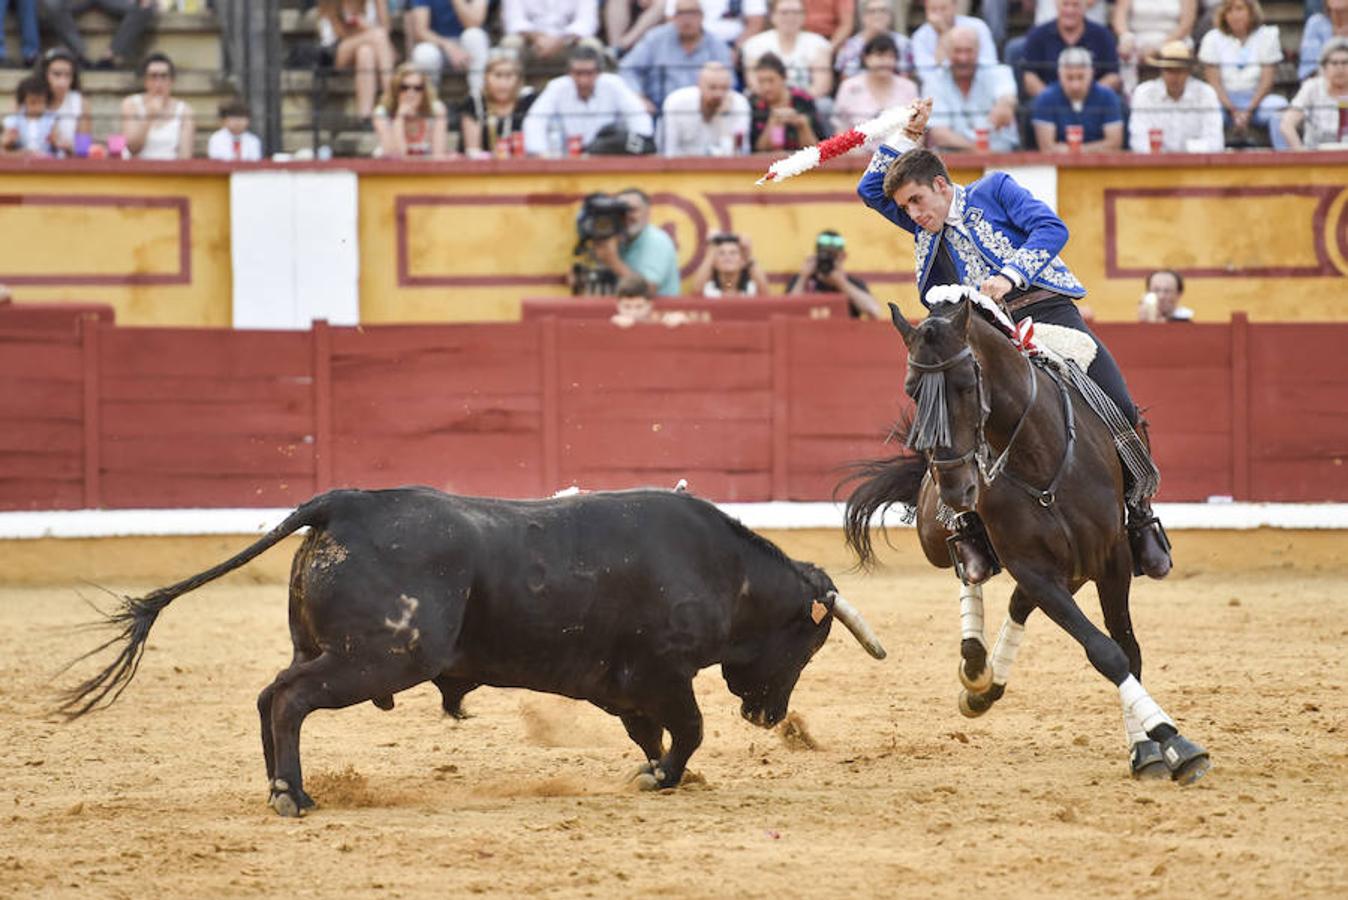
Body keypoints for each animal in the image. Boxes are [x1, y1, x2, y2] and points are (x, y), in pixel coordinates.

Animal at [60, 485, 884, 813]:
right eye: (810, 645)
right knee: (289, 700)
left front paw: (650, 773)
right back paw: (292, 796)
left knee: (271, 694)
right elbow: (688, 730)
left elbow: (651, 735)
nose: (769, 716)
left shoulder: (624, 685)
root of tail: (343, 502)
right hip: (381, 658)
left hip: (325, 649)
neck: (723, 567)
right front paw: (664, 779)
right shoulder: (663, 673)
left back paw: (282, 787)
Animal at [841, 299, 1213, 781]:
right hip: (935, 534)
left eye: (966, 384)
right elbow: (1104, 650)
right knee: (969, 569)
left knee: (1017, 602)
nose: (957, 488)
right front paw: (1172, 740)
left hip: (1077, 565)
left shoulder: (1109, 556)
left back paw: (985, 679)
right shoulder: (1032, 567)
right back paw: (976, 663)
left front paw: (1149, 747)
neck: (1040, 461)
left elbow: (1125, 647)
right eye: (912, 390)